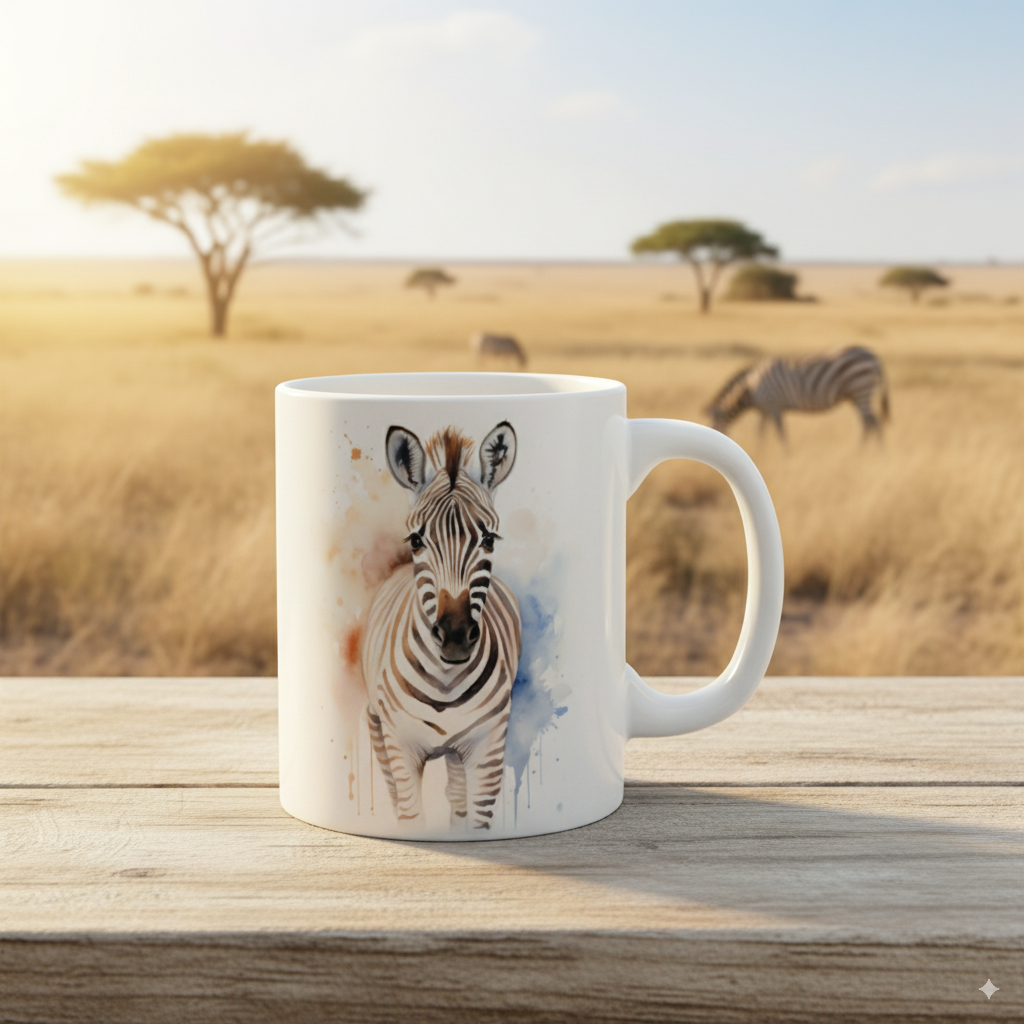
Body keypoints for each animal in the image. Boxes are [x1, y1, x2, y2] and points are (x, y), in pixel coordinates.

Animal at [361, 421, 521, 830]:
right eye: (417, 540)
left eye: (488, 539)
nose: (455, 637)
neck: (446, 683)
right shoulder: (400, 744)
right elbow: (410, 812)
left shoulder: (488, 747)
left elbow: (476, 816)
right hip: (376, 721)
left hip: (456, 752)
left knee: (456, 794)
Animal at [706, 346, 890, 440]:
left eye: (713, 428)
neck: (750, 388)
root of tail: (873, 356)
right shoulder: (764, 410)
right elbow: (761, 435)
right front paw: (759, 456)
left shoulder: (774, 406)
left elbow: (781, 434)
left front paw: (787, 458)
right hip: (856, 395)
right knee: (870, 422)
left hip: (861, 390)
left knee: (872, 422)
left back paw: (867, 455)